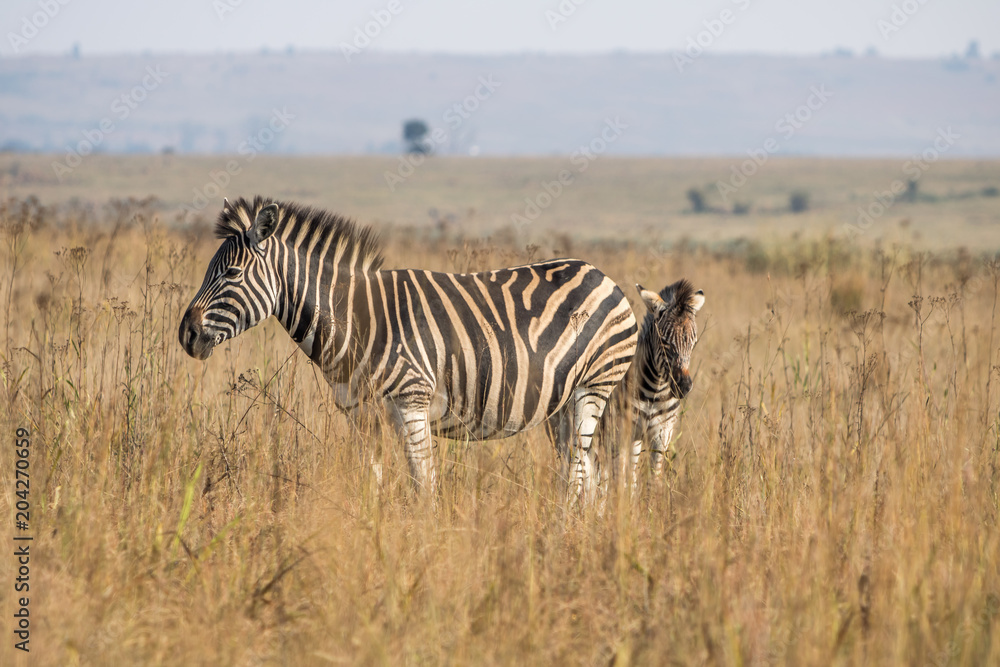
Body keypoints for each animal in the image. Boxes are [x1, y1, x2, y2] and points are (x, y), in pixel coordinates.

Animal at [179, 197, 638, 498]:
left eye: (232, 273)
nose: (186, 334)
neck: (358, 322)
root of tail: (600, 274)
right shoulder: (361, 416)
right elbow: (374, 484)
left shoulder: (412, 404)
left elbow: (424, 489)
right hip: (560, 404)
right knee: (588, 474)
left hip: (592, 388)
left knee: (579, 475)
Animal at [549, 279, 704, 489]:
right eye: (664, 341)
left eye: (693, 342)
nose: (684, 387)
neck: (654, 392)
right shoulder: (618, 434)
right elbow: (617, 482)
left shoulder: (661, 436)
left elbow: (648, 481)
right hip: (566, 428)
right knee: (574, 466)